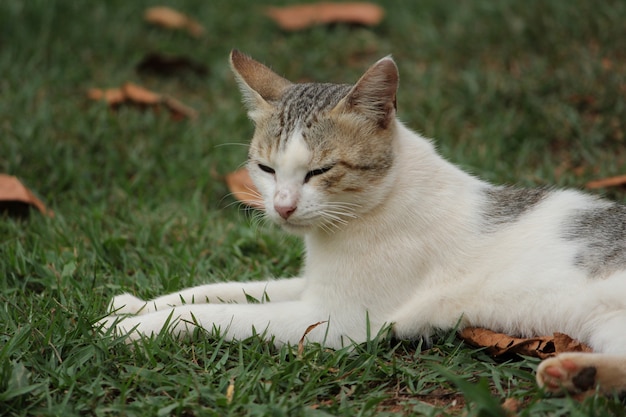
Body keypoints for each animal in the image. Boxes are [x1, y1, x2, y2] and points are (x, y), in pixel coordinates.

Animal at [100, 50, 624, 394]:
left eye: (319, 171)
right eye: (266, 169)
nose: (283, 207)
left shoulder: (334, 321)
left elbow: (219, 314)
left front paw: (135, 329)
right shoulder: (310, 287)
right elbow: (218, 291)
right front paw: (134, 307)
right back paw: (577, 375)